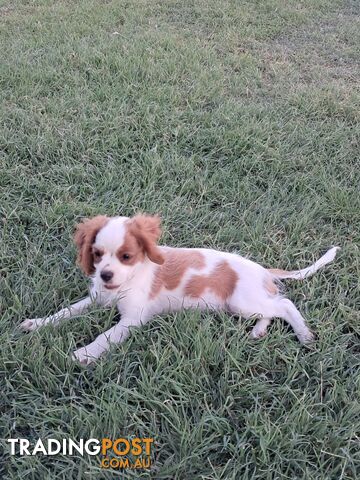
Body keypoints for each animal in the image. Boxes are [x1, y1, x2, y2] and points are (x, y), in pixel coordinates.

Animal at [20, 214, 340, 364]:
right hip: (245, 306)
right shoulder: (97, 299)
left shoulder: (132, 319)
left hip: (242, 301)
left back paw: (304, 335)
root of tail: (262, 270)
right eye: (97, 254)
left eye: (126, 256)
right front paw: (38, 323)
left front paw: (84, 354)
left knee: (285, 305)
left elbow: (105, 335)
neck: (125, 282)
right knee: (271, 311)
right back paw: (259, 331)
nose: (105, 275)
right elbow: (65, 311)